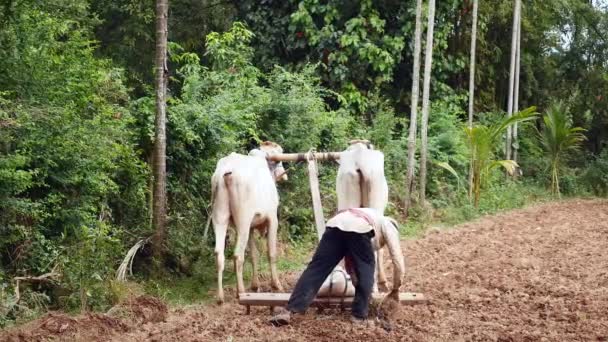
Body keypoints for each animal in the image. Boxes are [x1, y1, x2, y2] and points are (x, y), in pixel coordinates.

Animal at [210, 140, 288, 304]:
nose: (284, 177)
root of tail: (225, 172)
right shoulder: (272, 219)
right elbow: (271, 253)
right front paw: (276, 285)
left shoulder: (252, 226)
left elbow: (254, 255)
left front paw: (255, 285)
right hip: (243, 222)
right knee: (238, 255)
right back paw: (240, 291)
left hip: (220, 218)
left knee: (219, 254)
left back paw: (220, 297)